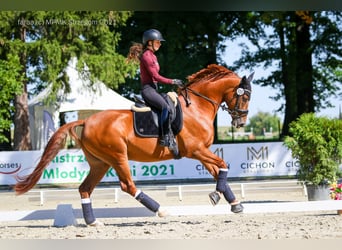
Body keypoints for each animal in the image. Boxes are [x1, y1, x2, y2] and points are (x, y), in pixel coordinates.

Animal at [14, 64, 252, 225]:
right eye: (245, 96)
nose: (240, 122)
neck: (197, 107)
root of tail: (86, 121)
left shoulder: (201, 152)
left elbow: (219, 170)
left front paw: (234, 204)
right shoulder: (196, 150)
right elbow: (223, 165)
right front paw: (216, 196)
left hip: (100, 163)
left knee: (85, 188)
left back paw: (93, 222)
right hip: (117, 156)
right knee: (127, 185)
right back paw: (160, 210)